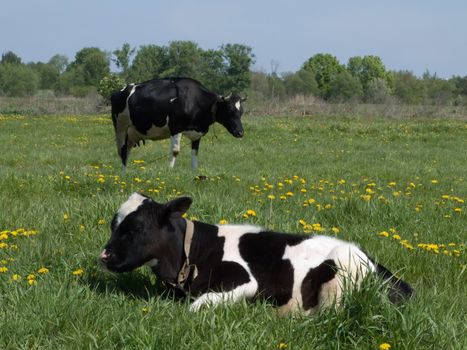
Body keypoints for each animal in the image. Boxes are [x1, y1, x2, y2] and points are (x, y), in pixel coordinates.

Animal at [98, 193, 414, 314]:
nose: (104, 256)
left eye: (136, 227)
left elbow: (197, 305)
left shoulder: (246, 281)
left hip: (339, 275)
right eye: (114, 224)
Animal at [110, 77, 247, 170]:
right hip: (120, 128)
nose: (240, 133)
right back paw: (123, 174)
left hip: (132, 133)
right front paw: (170, 170)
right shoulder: (176, 127)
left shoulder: (197, 132)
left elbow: (195, 152)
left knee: (126, 151)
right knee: (122, 151)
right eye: (229, 110)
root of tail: (120, 90)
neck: (195, 101)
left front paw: (194, 171)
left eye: (241, 112)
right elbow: (175, 151)